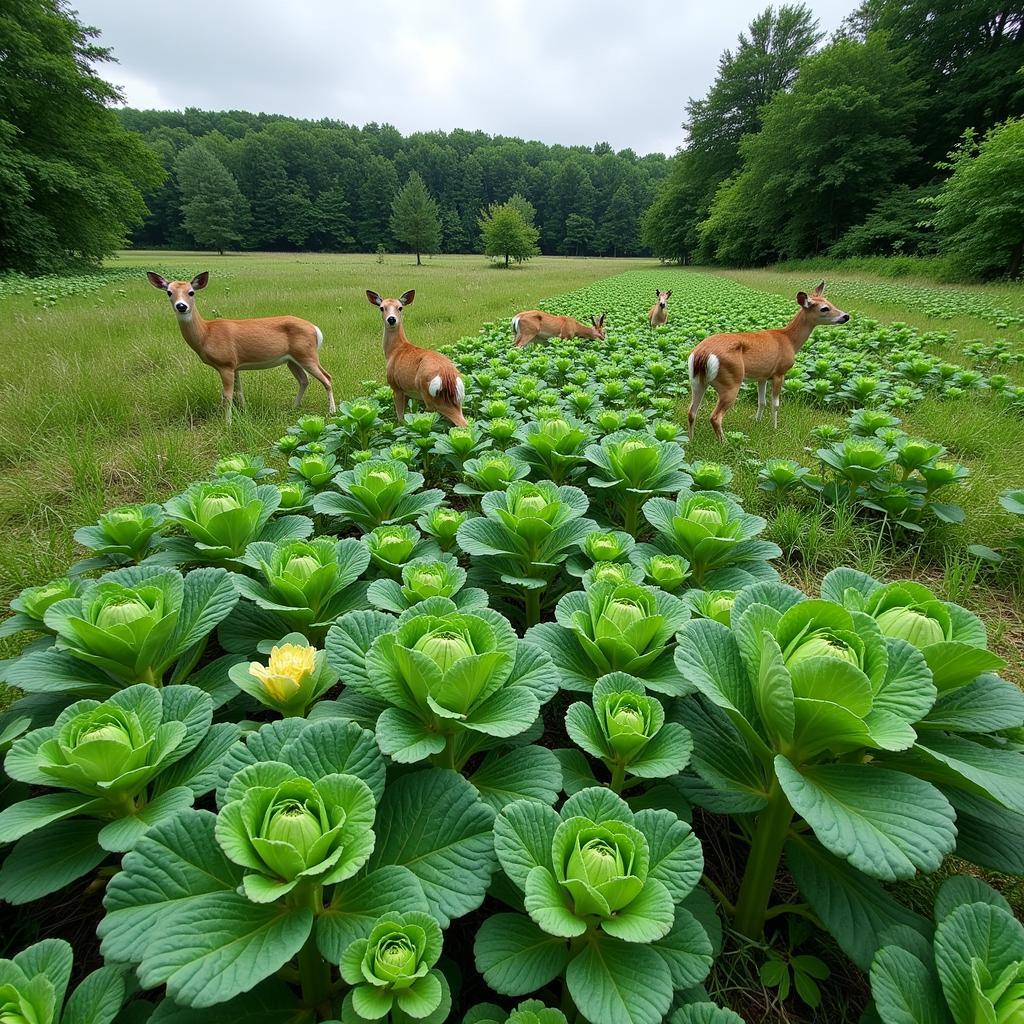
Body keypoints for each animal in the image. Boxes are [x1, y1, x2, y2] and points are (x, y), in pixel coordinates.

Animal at [147, 270, 335, 425]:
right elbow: (239, 392)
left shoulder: (225, 363)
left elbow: (227, 395)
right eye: (169, 292)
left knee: (327, 377)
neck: (206, 334)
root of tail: (315, 329)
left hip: (307, 353)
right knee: (304, 380)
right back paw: (294, 406)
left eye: (191, 292)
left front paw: (228, 423)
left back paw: (331, 411)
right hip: (292, 359)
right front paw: (244, 413)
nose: (181, 306)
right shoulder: (235, 365)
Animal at [364, 290, 468, 425]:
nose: (391, 319)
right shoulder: (410, 393)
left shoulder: (396, 386)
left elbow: (400, 417)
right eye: (382, 308)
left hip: (432, 398)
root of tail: (448, 376)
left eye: (400, 307)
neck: (394, 351)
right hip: (457, 400)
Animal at [692, 280, 851, 440]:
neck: (789, 340)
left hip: (697, 381)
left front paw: (757, 421)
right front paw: (774, 427)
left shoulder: (762, 376)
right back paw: (724, 441)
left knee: (692, 411)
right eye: (824, 308)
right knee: (715, 417)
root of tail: (702, 354)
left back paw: (691, 439)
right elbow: (775, 404)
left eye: (830, 302)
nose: (846, 316)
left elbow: (762, 402)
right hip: (731, 381)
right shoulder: (780, 373)